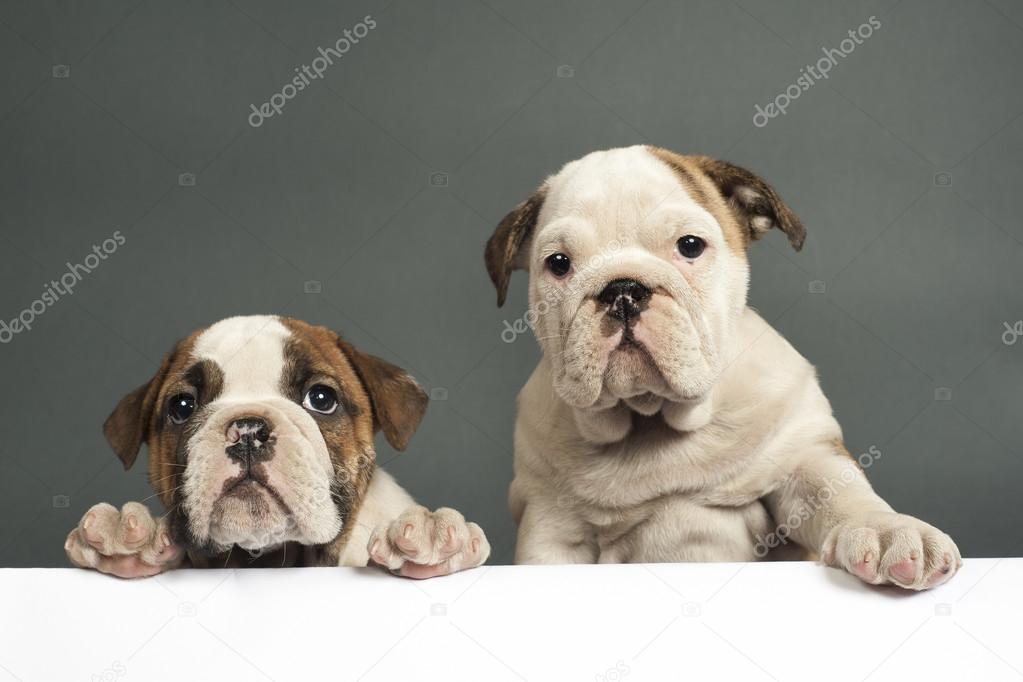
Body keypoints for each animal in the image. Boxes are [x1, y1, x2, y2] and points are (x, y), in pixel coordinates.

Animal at [486, 147, 957, 588]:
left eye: (690, 246)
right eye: (558, 264)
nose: (623, 290)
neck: (650, 419)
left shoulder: (805, 454)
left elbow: (841, 495)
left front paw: (889, 531)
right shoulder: (550, 522)